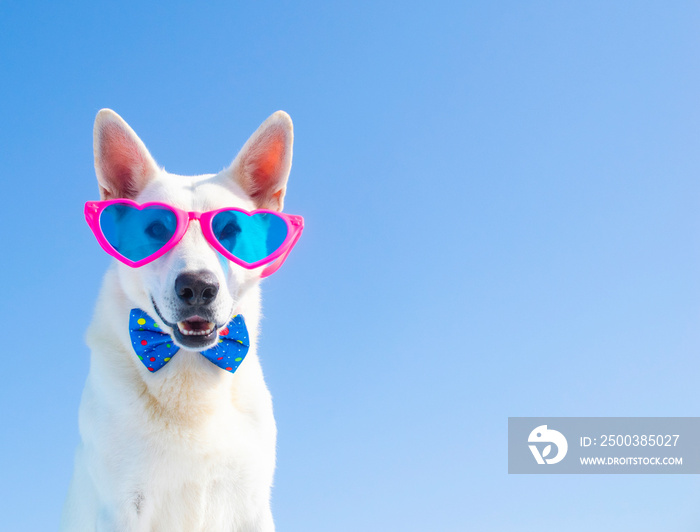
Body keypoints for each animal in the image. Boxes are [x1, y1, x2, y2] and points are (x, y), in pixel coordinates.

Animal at [60, 109, 300, 532]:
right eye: (157, 229)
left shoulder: (252, 509)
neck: (190, 376)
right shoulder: (122, 508)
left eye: (229, 229)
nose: (198, 287)